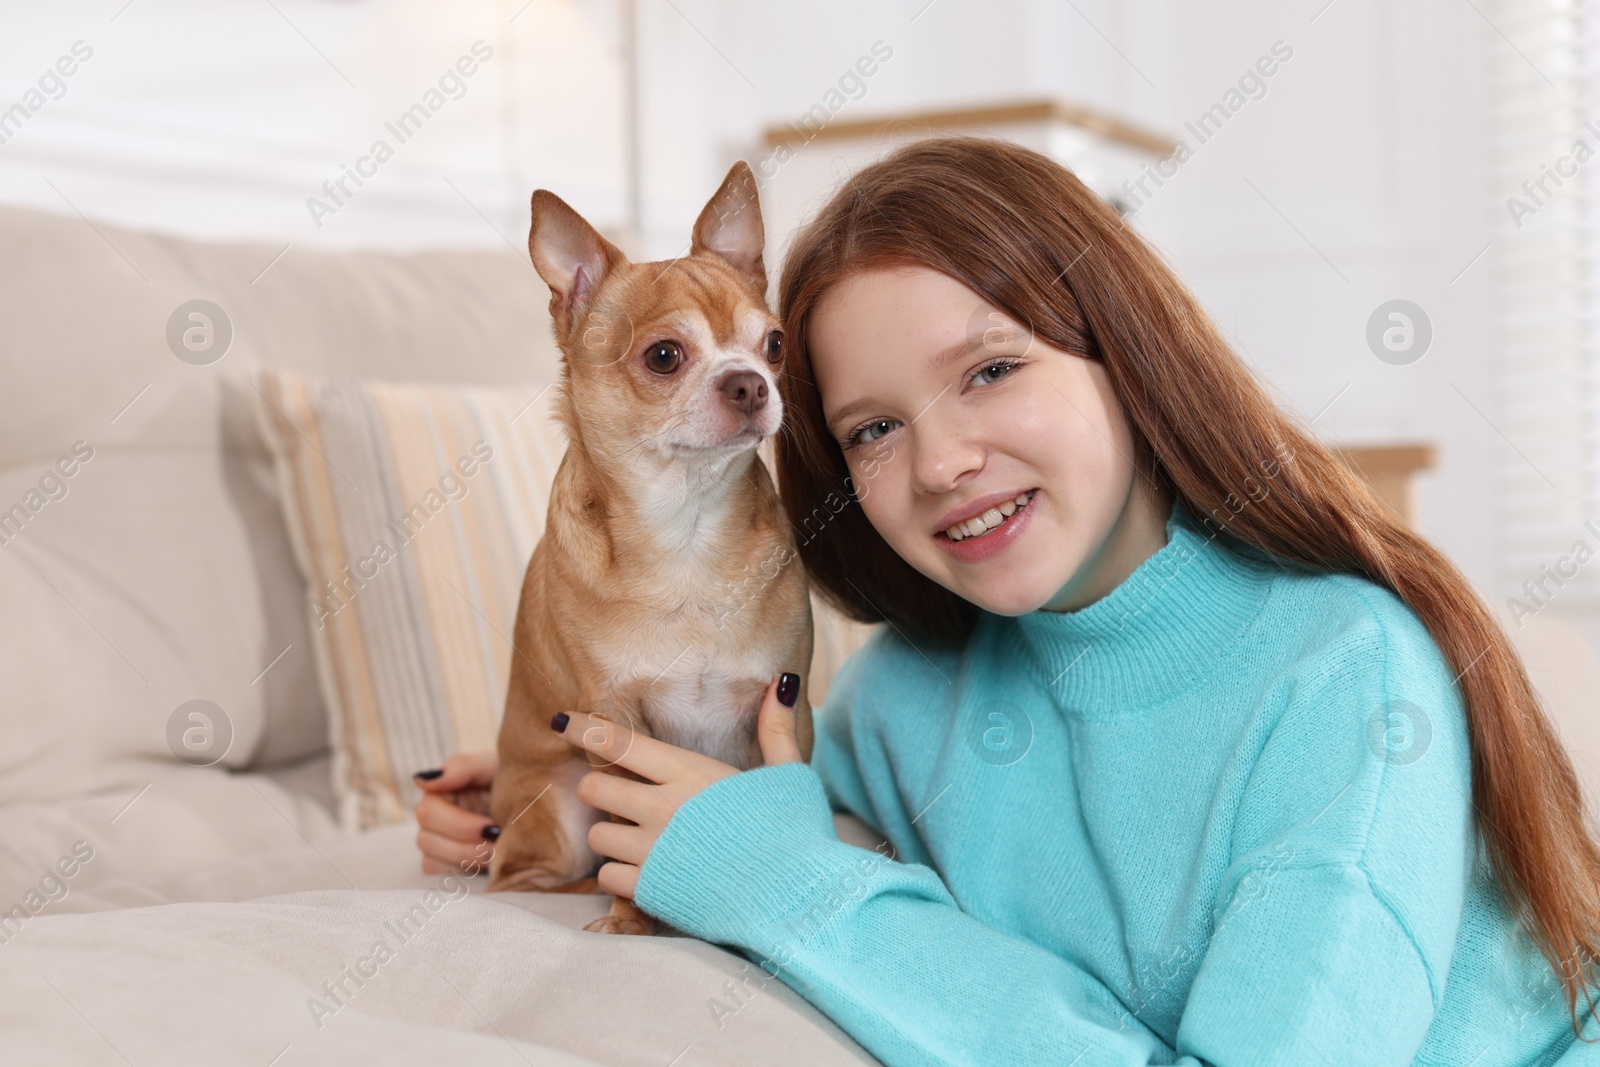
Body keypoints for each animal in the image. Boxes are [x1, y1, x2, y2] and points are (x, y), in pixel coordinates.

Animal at [483, 160, 812, 934]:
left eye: (774, 344)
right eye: (665, 356)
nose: (750, 382)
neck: (686, 532)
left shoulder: (787, 704)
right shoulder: (615, 722)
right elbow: (629, 836)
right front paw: (632, 921)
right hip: (559, 801)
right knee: (521, 876)